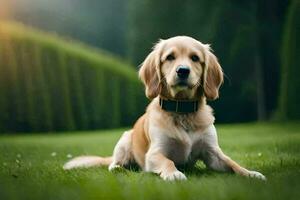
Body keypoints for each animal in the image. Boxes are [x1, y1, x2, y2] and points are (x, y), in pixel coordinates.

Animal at [64, 36, 266, 181]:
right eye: (169, 57)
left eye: (195, 58)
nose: (183, 70)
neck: (182, 111)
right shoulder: (155, 153)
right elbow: (167, 161)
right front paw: (174, 173)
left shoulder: (212, 152)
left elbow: (232, 163)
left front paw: (250, 173)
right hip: (125, 139)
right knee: (113, 163)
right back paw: (119, 167)